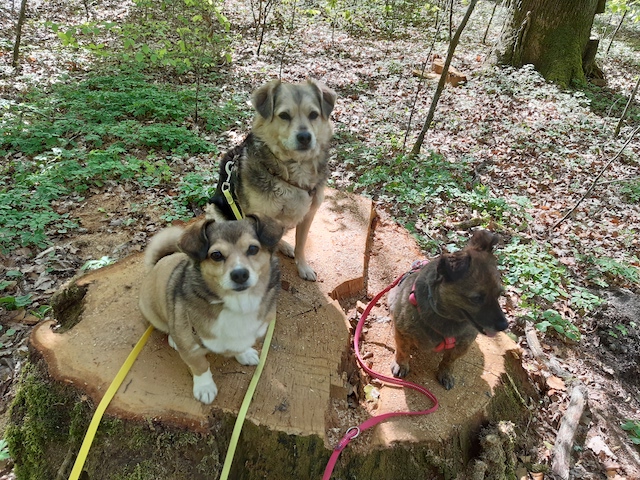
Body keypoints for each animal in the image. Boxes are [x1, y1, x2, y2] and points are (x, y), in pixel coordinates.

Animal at [388, 230, 508, 390]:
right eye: (476, 298)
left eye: (499, 294)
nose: (504, 325)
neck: (446, 317)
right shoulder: (402, 333)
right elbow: (402, 350)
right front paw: (401, 364)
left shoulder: (462, 345)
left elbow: (449, 361)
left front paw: (445, 373)